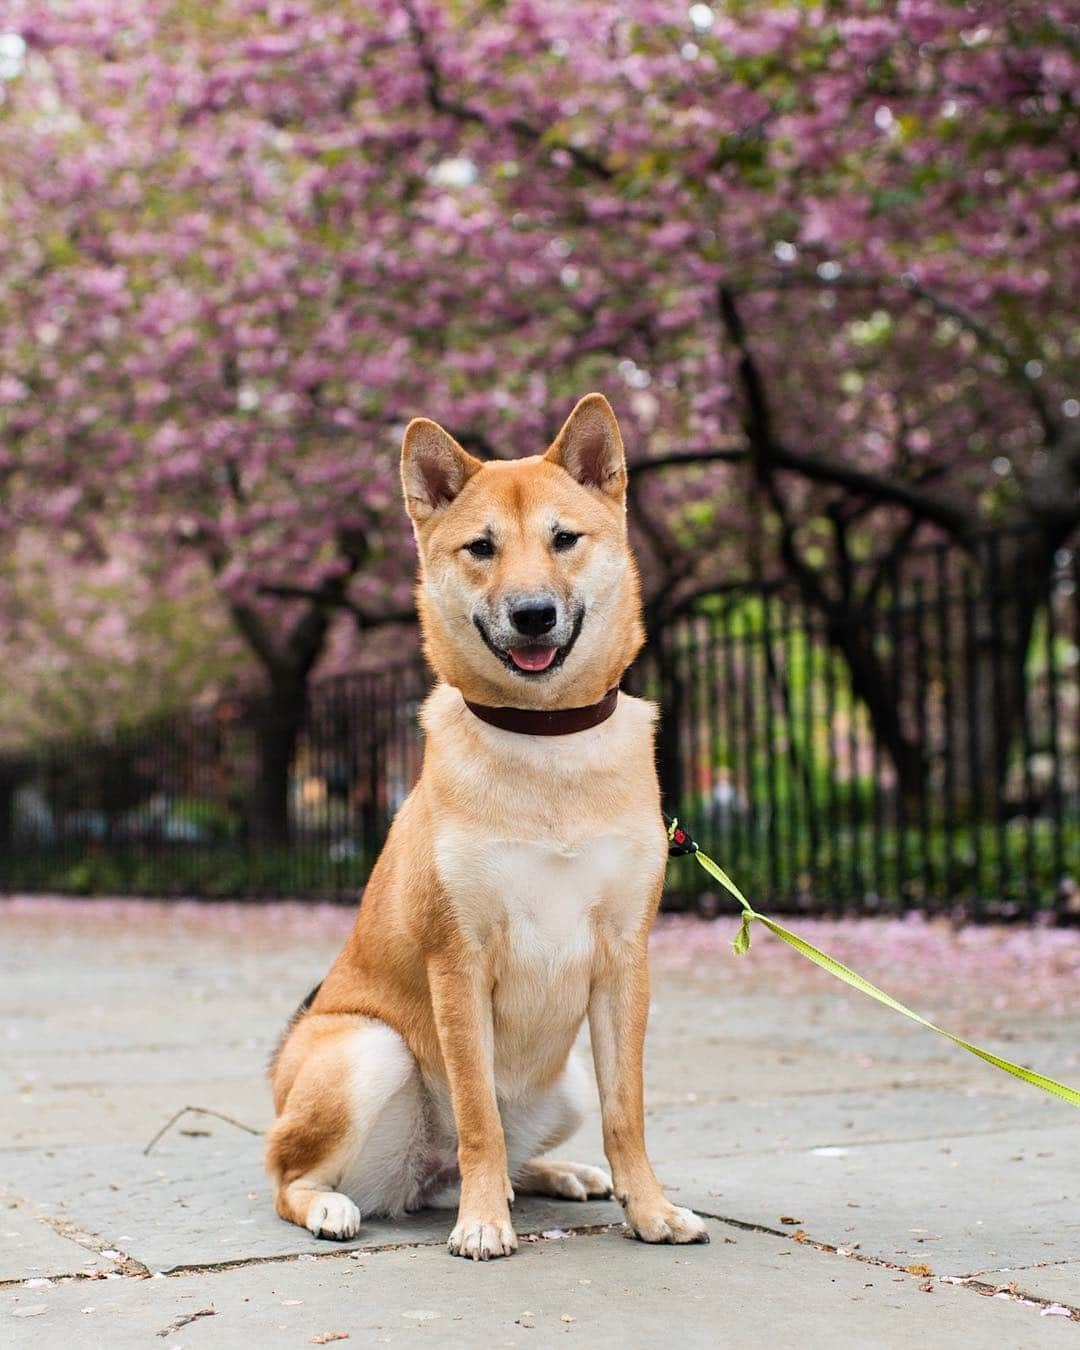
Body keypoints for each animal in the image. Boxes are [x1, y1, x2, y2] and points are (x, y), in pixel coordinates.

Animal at [265, 391, 707, 1252]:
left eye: (564, 539)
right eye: (481, 548)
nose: (533, 614)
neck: (546, 741)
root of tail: (418, 1178)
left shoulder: (624, 958)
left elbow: (627, 1112)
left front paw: (650, 1208)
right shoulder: (458, 962)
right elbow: (478, 1117)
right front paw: (481, 1222)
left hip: (565, 1081)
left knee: (519, 1150)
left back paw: (556, 1176)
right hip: (367, 1050)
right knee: (287, 1176)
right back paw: (346, 1205)